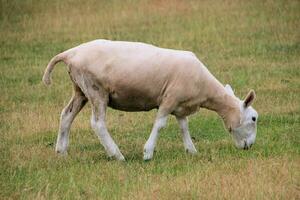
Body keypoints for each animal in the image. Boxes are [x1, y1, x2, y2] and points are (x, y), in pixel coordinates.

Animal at [42, 39, 258, 161]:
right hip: (96, 90)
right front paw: (147, 153)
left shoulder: (180, 105)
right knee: (98, 124)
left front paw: (191, 151)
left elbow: (184, 127)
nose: (250, 146)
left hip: (80, 90)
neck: (205, 89)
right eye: (254, 119)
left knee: (66, 116)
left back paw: (61, 152)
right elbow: (160, 125)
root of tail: (71, 53)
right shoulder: (169, 100)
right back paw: (117, 155)